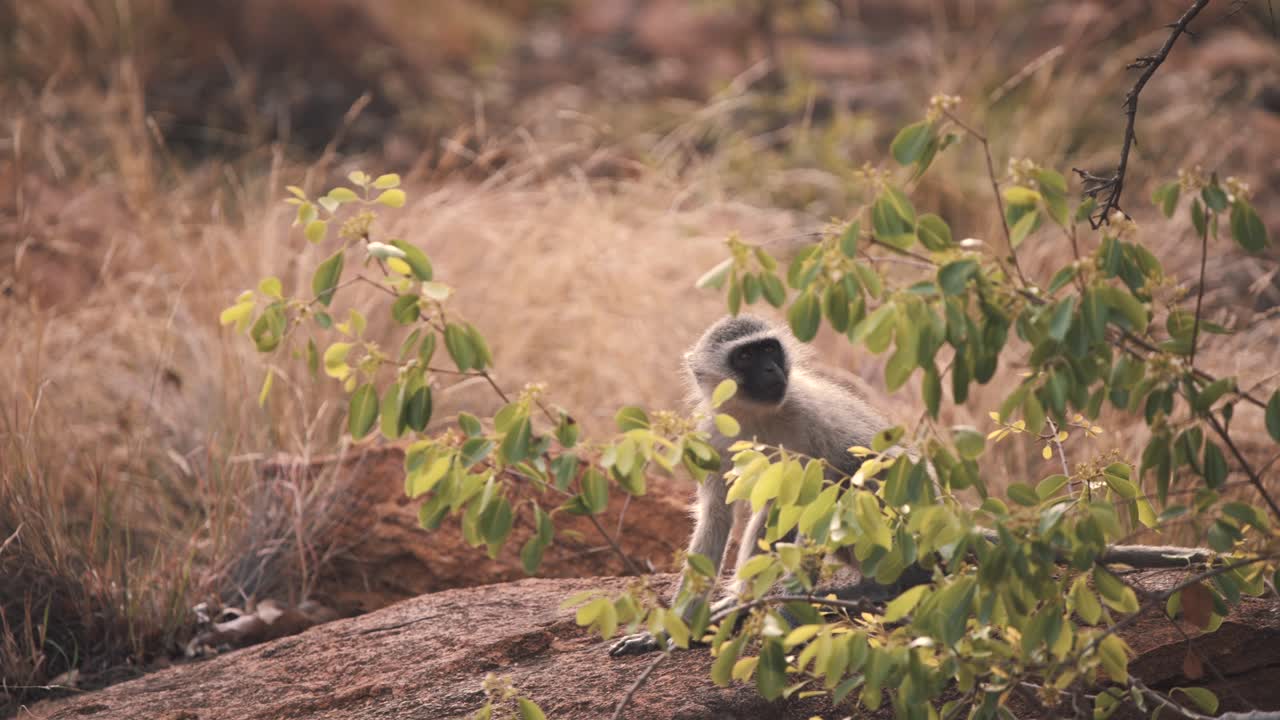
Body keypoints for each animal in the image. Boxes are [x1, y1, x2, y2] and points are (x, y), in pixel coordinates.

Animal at [609, 314, 910, 657]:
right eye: (745, 356)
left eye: (768, 349)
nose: (770, 369)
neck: (756, 415)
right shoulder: (711, 435)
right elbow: (716, 516)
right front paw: (672, 628)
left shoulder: (811, 419)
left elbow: (818, 503)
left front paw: (789, 624)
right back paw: (741, 603)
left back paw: (881, 589)